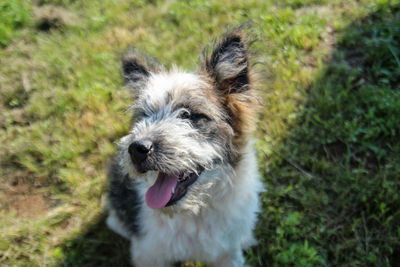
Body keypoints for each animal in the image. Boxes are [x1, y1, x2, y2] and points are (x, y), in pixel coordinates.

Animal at [104, 29, 264, 267]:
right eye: (144, 115)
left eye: (189, 115)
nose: (137, 149)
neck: (196, 211)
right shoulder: (148, 255)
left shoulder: (228, 253)